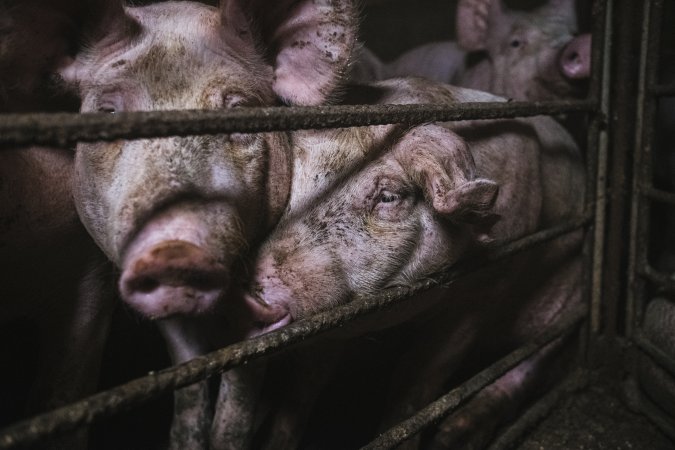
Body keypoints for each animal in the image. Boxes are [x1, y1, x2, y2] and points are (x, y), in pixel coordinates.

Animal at [221, 77, 585, 448]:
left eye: (388, 196)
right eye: (288, 186)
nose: (250, 292)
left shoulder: (483, 292)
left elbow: (416, 386)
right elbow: (303, 390)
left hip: (570, 297)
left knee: (533, 359)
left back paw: (457, 432)